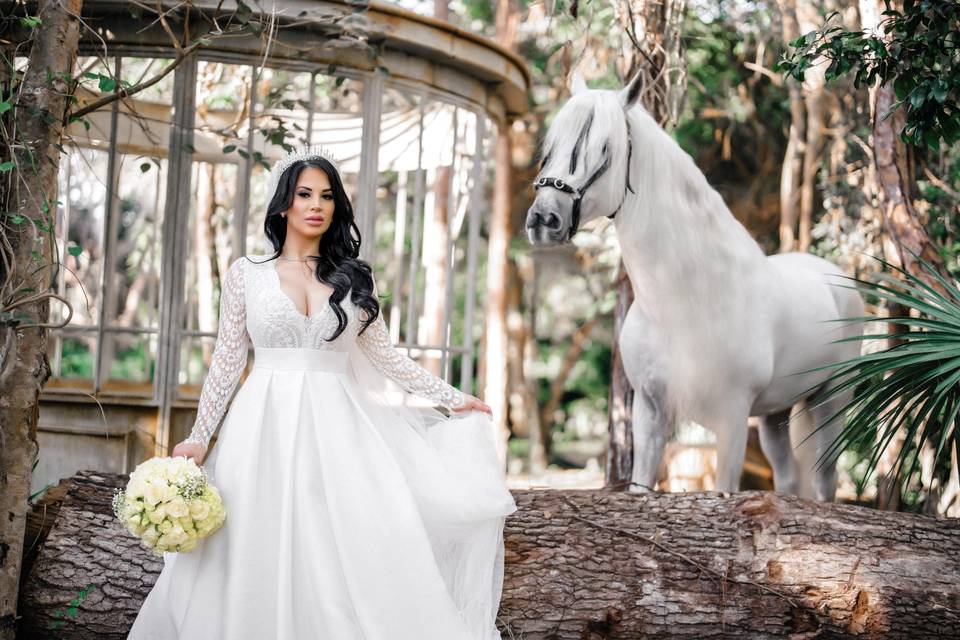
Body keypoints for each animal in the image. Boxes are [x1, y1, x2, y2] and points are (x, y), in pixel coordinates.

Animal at [524, 72, 864, 498]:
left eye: (604, 150)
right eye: (550, 148)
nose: (543, 220)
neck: (682, 303)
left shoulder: (732, 418)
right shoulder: (649, 411)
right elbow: (641, 484)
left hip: (831, 402)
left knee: (824, 482)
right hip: (776, 414)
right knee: (787, 479)